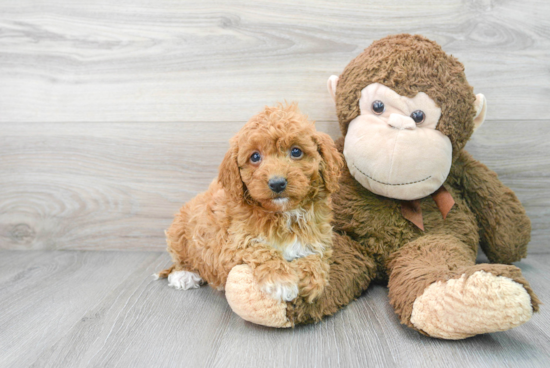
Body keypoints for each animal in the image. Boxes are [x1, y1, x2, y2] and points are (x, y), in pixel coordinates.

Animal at [157, 102, 342, 304]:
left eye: (296, 151)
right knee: (182, 259)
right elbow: (259, 248)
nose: (277, 183)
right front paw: (281, 279)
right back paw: (184, 274)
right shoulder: (229, 247)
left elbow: (317, 257)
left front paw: (308, 278)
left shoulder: (319, 239)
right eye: (255, 157)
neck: (283, 214)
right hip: (179, 233)